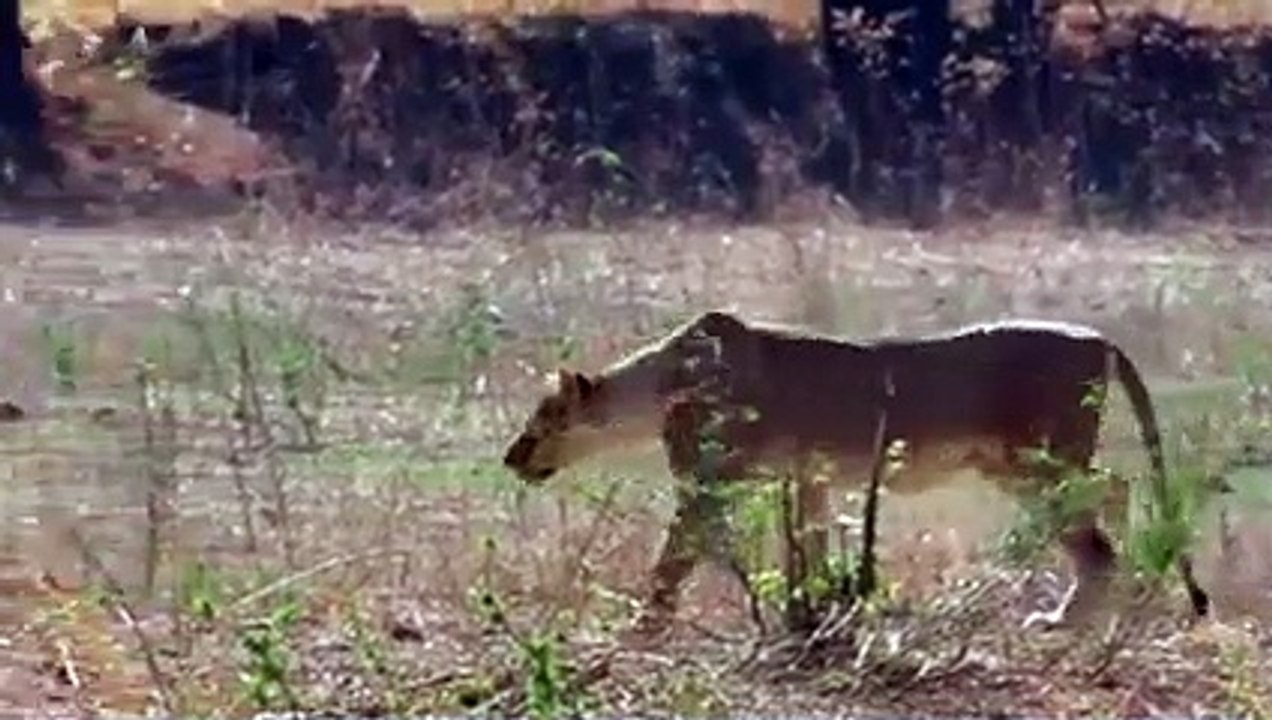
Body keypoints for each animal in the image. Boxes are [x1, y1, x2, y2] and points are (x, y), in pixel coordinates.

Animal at [502, 310, 1211, 635]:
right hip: (1017, 465)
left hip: (1040, 461)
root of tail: (1096, 336)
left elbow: (675, 557)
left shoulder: (709, 484)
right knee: (1114, 494)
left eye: (543, 420)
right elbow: (811, 548)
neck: (658, 384)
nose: (512, 457)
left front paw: (643, 626)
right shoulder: (809, 476)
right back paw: (1124, 601)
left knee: (1100, 528)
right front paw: (814, 612)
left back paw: (1076, 615)